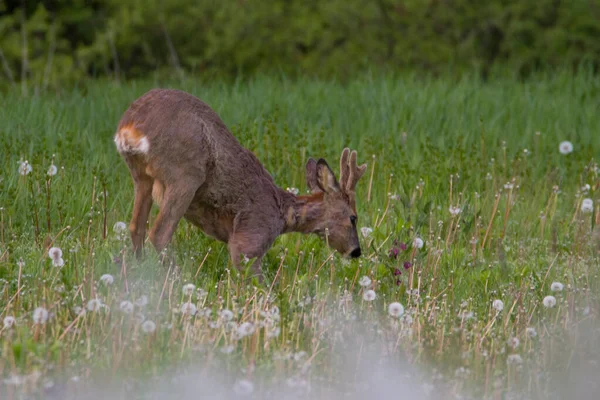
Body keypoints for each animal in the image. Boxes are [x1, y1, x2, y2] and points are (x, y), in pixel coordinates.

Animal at [112, 88, 366, 280]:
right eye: (353, 217)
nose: (356, 251)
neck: (282, 214)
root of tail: (129, 127)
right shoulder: (249, 237)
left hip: (141, 176)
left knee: (136, 227)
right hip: (184, 174)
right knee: (159, 233)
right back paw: (179, 279)